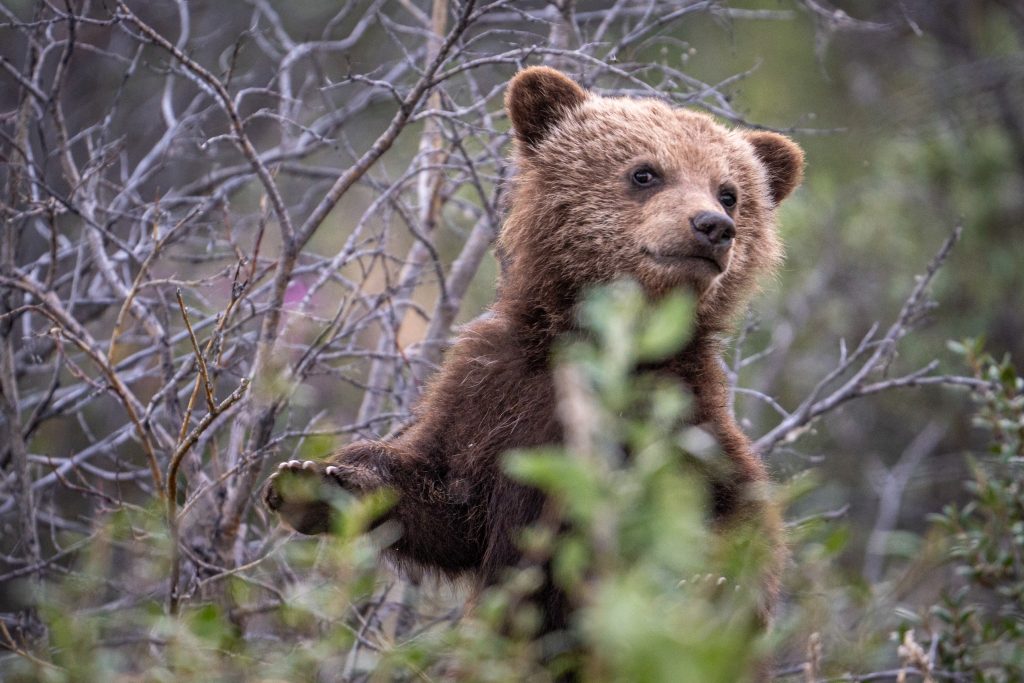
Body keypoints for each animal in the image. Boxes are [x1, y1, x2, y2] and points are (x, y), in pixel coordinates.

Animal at [263, 66, 803, 650]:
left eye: (730, 192)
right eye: (645, 172)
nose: (712, 226)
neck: (600, 341)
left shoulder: (679, 412)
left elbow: (731, 510)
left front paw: (712, 585)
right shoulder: (496, 390)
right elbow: (446, 497)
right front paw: (315, 479)